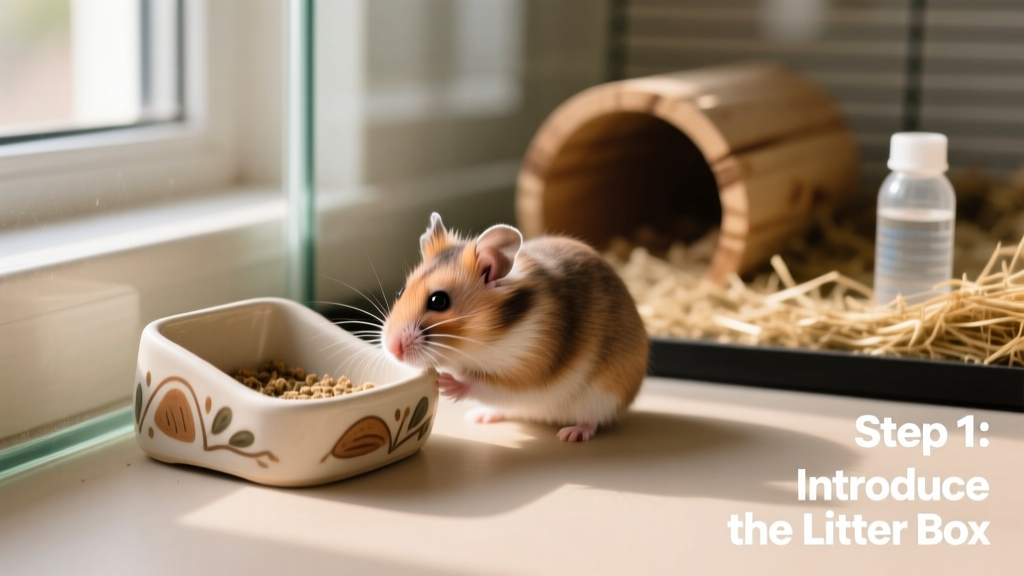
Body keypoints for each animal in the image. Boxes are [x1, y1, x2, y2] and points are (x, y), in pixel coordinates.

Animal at [381, 212, 648, 442]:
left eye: (439, 301)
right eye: (401, 291)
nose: (391, 349)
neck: (483, 343)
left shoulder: (530, 371)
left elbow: (485, 385)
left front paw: (445, 381)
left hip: (605, 395)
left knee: (592, 420)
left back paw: (571, 434)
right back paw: (479, 416)